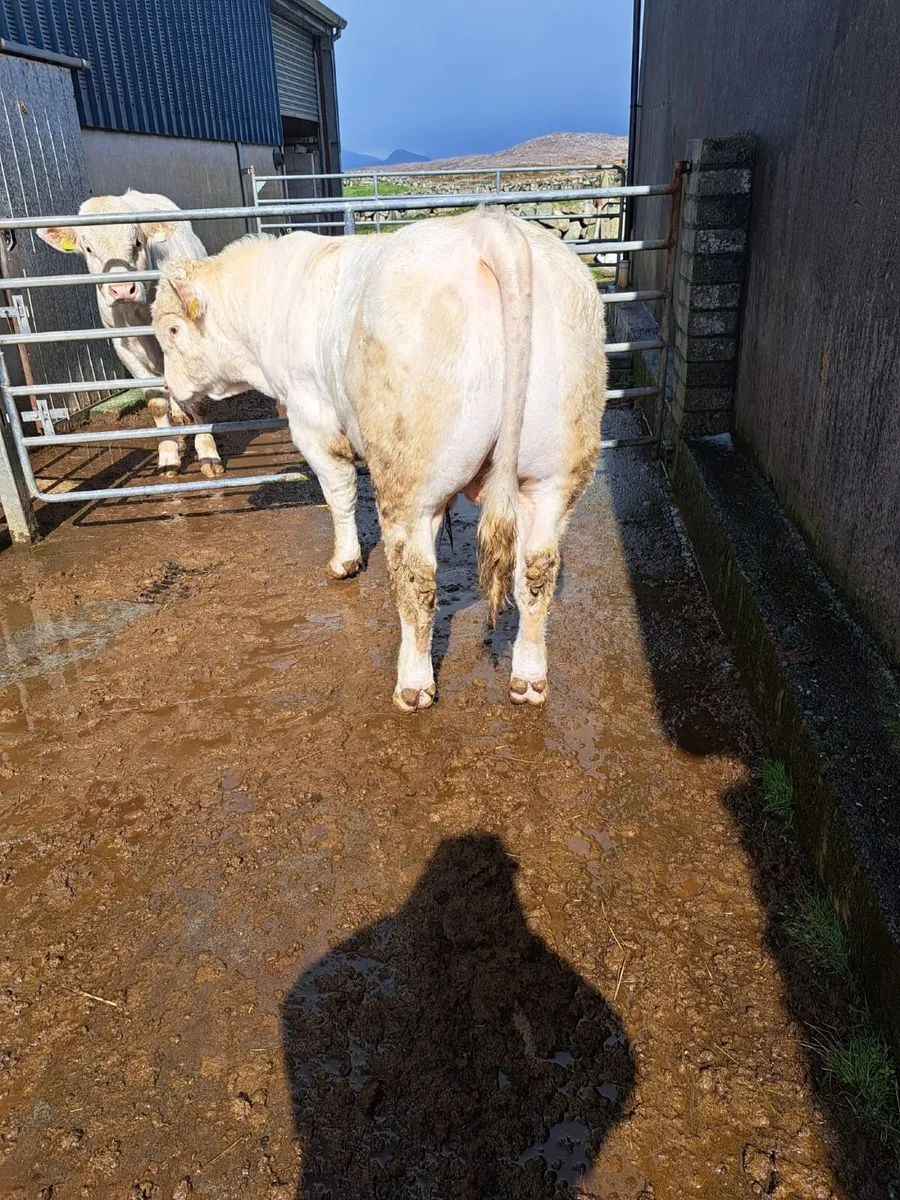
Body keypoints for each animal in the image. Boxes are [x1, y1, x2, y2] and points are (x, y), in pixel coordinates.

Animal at [38, 190, 223, 479]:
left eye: (137, 242)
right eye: (88, 249)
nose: (123, 289)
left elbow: (198, 401)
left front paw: (208, 454)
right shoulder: (124, 348)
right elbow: (156, 402)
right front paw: (168, 456)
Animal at [151, 207, 606, 711]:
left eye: (172, 330)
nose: (168, 387)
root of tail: (490, 227)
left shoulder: (313, 421)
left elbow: (340, 495)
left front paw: (344, 561)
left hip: (409, 475)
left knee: (416, 580)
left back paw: (413, 686)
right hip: (554, 472)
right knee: (537, 571)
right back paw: (528, 680)